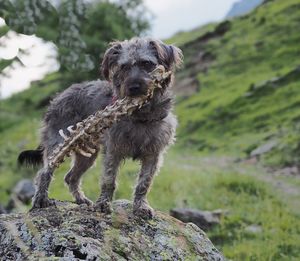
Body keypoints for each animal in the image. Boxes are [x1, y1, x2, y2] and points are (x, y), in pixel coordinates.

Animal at [19, 37, 183, 217]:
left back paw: (81, 200)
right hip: (59, 143)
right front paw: (103, 205)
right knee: (44, 172)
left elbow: (144, 183)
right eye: (124, 67)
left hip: (88, 155)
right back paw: (41, 199)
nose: (133, 87)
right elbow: (109, 180)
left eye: (146, 63)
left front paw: (141, 206)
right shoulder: (113, 151)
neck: (141, 115)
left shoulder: (153, 155)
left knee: (71, 177)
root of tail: (57, 97)